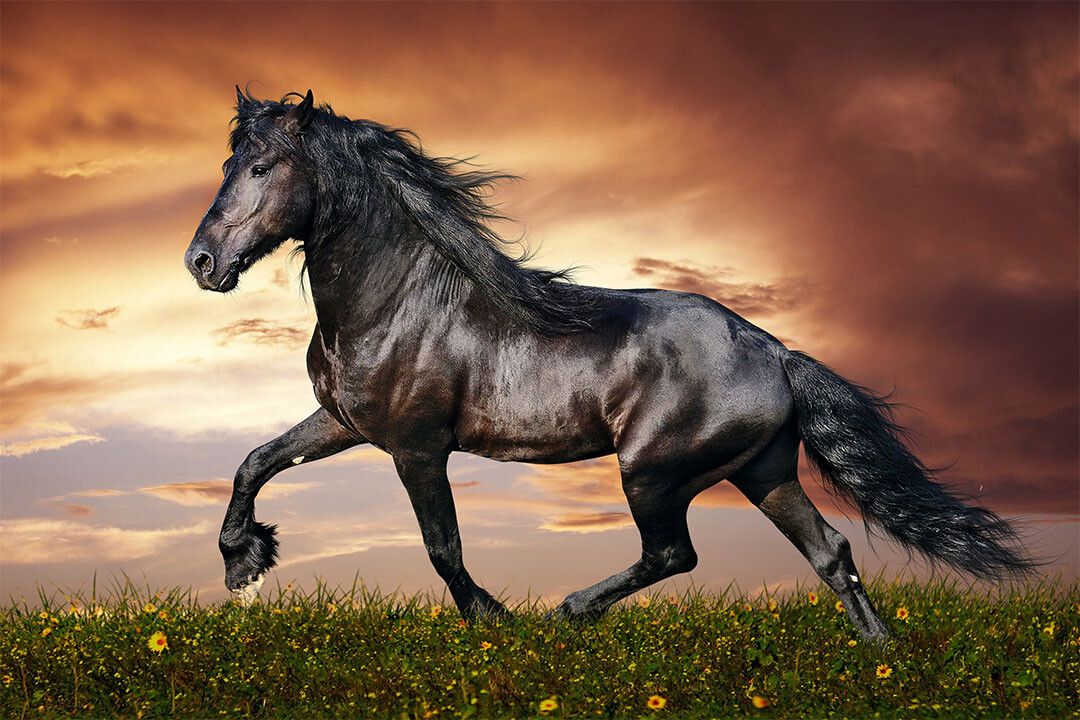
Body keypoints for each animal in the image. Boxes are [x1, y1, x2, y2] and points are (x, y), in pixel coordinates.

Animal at [184, 89, 1033, 640]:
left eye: (262, 167)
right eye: (229, 163)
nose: (201, 262)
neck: (395, 299)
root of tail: (776, 352)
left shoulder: (417, 446)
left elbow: (442, 547)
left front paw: (494, 621)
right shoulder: (346, 422)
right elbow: (255, 461)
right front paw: (243, 564)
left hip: (653, 470)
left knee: (674, 553)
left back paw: (569, 611)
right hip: (763, 471)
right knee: (831, 553)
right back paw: (880, 657)